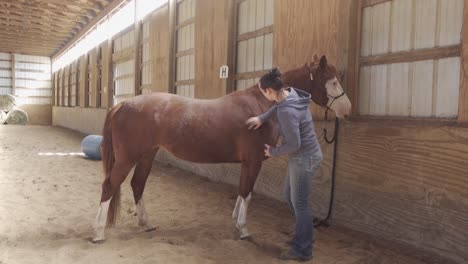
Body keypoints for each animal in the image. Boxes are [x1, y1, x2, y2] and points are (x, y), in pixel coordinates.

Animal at [91, 54, 350, 242]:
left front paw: (236, 221)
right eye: (333, 81)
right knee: (109, 186)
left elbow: (243, 190)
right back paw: (99, 233)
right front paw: (243, 229)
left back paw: (146, 224)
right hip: (128, 158)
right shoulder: (254, 161)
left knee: (137, 184)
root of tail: (123, 104)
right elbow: (247, 191)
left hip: (147, 155)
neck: (261, 105)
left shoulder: (248, 163)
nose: (347, 109)